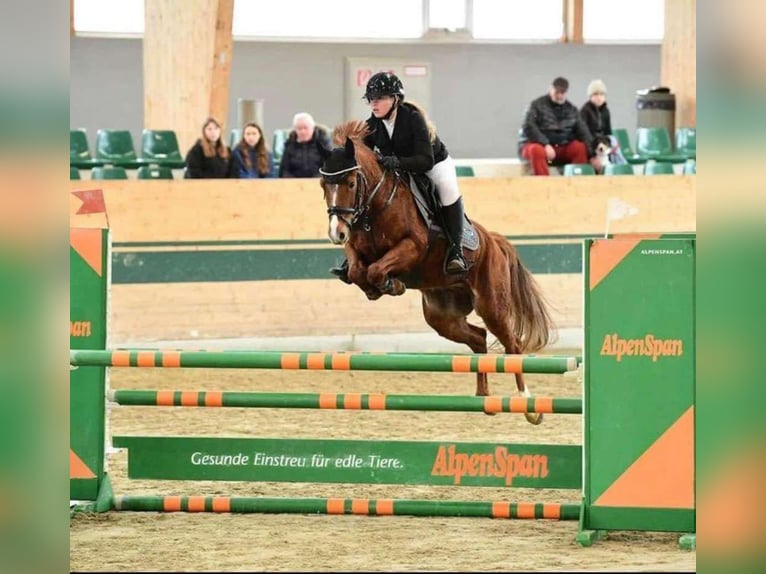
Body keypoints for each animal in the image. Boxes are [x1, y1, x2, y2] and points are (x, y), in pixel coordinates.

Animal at [318, 121, 560, 426]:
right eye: (323, 185)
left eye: (350, 183)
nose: (335, 233)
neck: (376, 205)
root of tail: (493, 241)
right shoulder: (354, 247)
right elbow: (360, 270)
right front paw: (380, 287)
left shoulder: (412, 246)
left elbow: (375, 269)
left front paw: (390, 284)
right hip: (442, 316)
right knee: (478, 337)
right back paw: (485, 398)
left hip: (492, 305)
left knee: (513, 345)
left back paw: (528, 405)